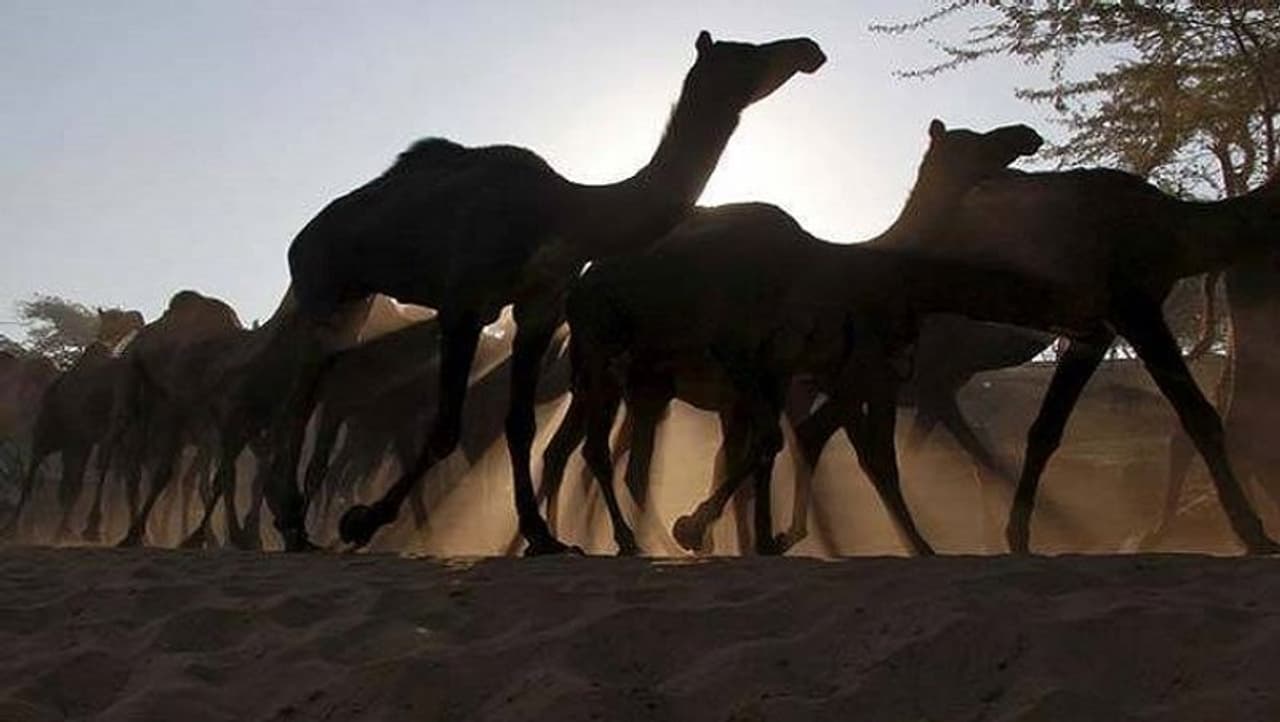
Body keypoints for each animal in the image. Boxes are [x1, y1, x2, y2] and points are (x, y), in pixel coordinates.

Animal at [1, 308, 144, 542]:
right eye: (114, 317)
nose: (137, 317)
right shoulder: (99, 435)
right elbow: (99, 472)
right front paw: (92, 528)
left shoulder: (94, 439)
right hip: (47, 433)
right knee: (33, 473)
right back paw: (13, 529)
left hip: (73, 443)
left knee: (66, 483)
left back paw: (63, 529)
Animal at [271, 31, 827, 554]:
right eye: (746, 52)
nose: (808, 49)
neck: (566, 212)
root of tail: (300, 237)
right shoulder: (464, 301)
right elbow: (447, 425)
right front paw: (361, 521)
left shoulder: (539, 305)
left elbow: (519, 423)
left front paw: (543, 536)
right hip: (320, 283)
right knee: (297, 399)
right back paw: (295, 525)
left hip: (353, 304)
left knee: (310, 389)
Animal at [559, 120, 1057, 555]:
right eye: (972, 142)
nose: (1025, 135)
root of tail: (584, 280)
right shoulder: (762, 358)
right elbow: (811, 450)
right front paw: (703, 528)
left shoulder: (803, 374)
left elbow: (813, 453)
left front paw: (760, 539)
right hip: (608, 356)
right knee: (600, 452)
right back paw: (627, 540)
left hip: (646, 378)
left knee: (629, 460)